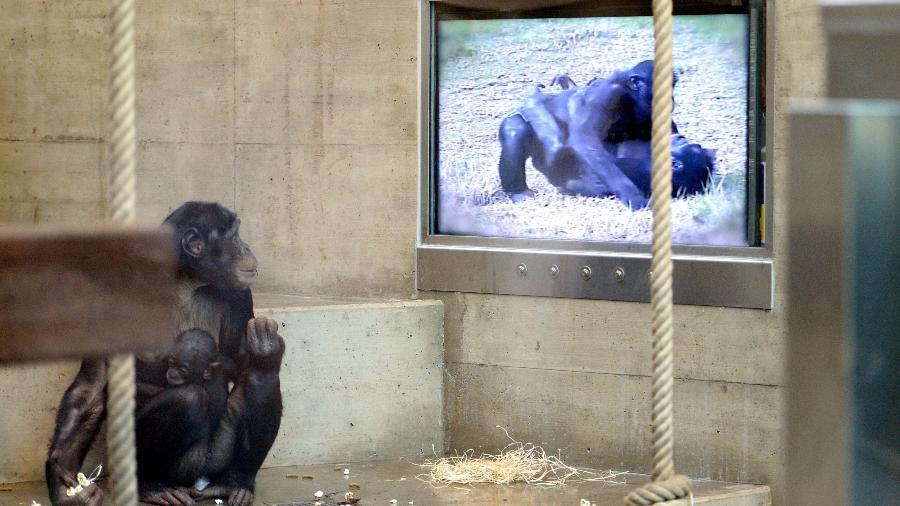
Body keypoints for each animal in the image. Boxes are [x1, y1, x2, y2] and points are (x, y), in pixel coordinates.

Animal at [45, 202, 284, 506]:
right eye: (233, 236)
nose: (246, 246)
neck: (184, 281)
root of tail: (196, 481)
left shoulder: (239, 292)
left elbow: (242, 362)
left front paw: (267, 348)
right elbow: (92, 386)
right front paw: (61, 478)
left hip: (216, 458)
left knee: (261, 378)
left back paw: (235, 482)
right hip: (173, 466)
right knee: (187, 399)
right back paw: (150, 485)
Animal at [496, 59, 680, 208]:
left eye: (672, 85)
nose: (671, 98)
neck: (632, 96)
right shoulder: (607, 95)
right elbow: (585, 139)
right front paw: (632, 196)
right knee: (515, 129)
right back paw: (519, 193)